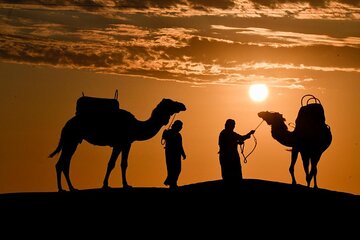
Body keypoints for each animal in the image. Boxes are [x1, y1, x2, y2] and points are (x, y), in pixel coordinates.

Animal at [48, 97, 186, 191]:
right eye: (170, 102)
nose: (183, 105)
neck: (136, 126)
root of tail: (65, 125)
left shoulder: (126, 144)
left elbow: (123, 164)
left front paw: (125, 184)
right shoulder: (120, 143)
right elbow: (112, 164)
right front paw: (106, 185)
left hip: (73, 140)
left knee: (64, 163)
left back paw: (70, 188)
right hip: (71, 139)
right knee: (62, 163)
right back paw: (63, 189)